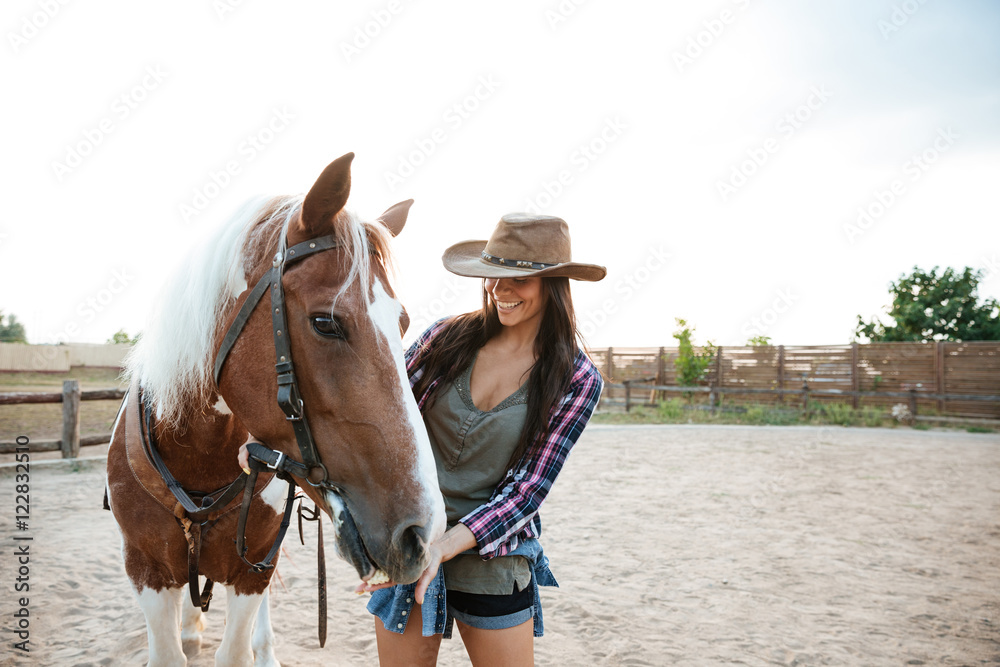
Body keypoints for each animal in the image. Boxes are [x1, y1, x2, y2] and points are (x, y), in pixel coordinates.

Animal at [105, 153, 446, 666]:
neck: (198, 461)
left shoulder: (253, 569)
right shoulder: (146, 570)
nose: (422, 533)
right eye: (325, 323)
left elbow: (236, 649)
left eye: (403, 323)